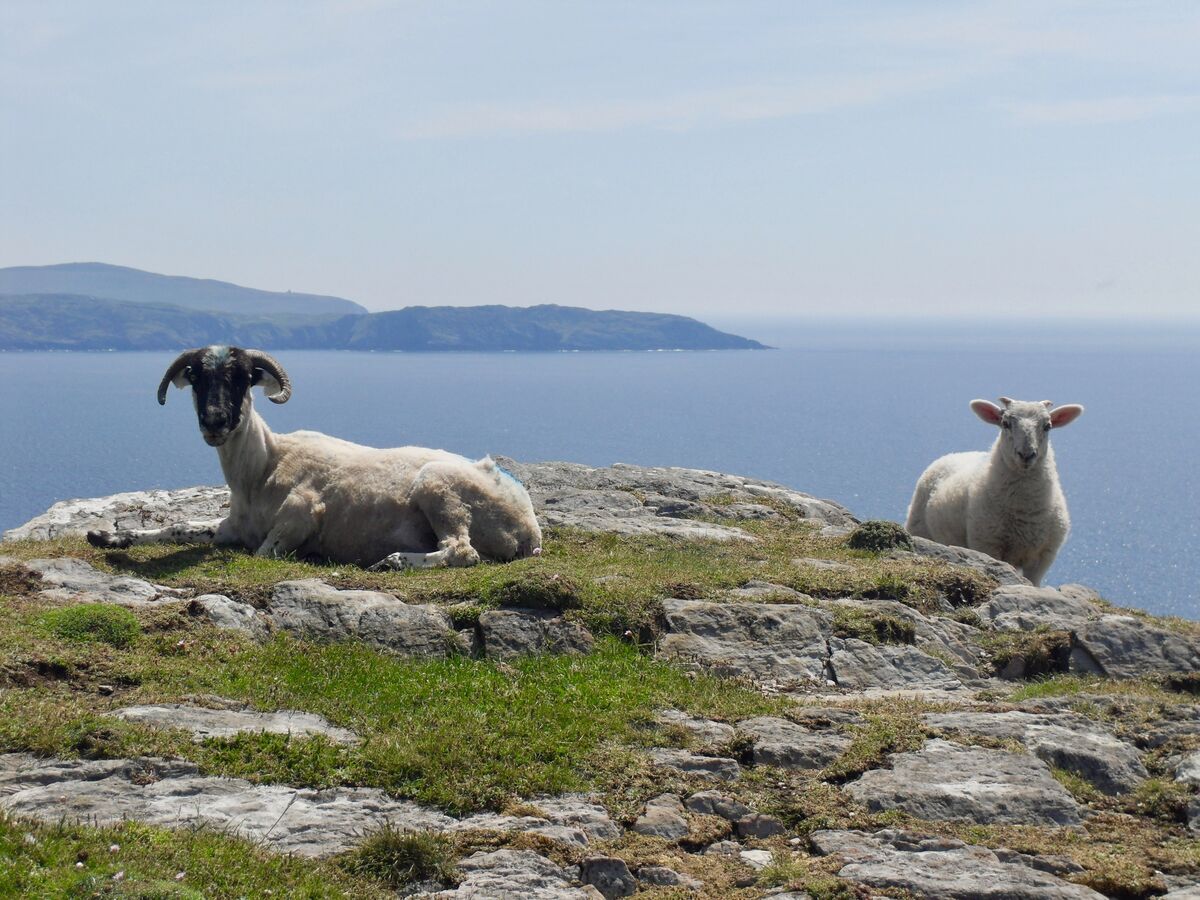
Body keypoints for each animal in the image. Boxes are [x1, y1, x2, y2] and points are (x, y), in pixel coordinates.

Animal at [86, 345, 542, 568]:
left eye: (242, 378)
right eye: (197, 378)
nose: (214, 422)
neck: (262, 468)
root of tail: (530, 532)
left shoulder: (302, 513)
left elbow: (263, 553)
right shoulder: (231, 527)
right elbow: (179, 527)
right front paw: (108, 536)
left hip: (439, 488)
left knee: (463, 551)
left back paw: (393, 561)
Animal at [905, 397, 1084, 586]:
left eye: (1047, 426)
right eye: (1005, 423)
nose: (1026, 455)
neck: (1024, 509)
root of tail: (954, 454)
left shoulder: (1044, 556)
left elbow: (1033, 583)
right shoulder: (988, 545)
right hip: (919, 527)